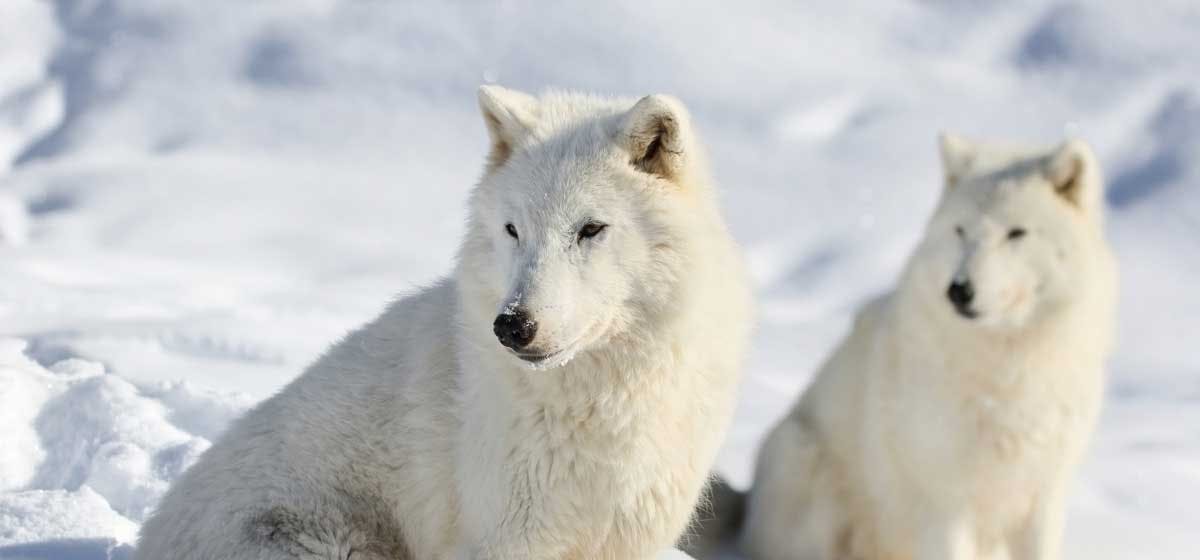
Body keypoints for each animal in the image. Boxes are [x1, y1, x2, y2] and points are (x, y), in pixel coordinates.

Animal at [739, 134, 1113, 560]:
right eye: (960, 231)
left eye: (1016, 233)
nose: (959, 290)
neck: (1007, 374)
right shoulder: (946, 506)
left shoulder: (1042, 500)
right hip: (806, 468)